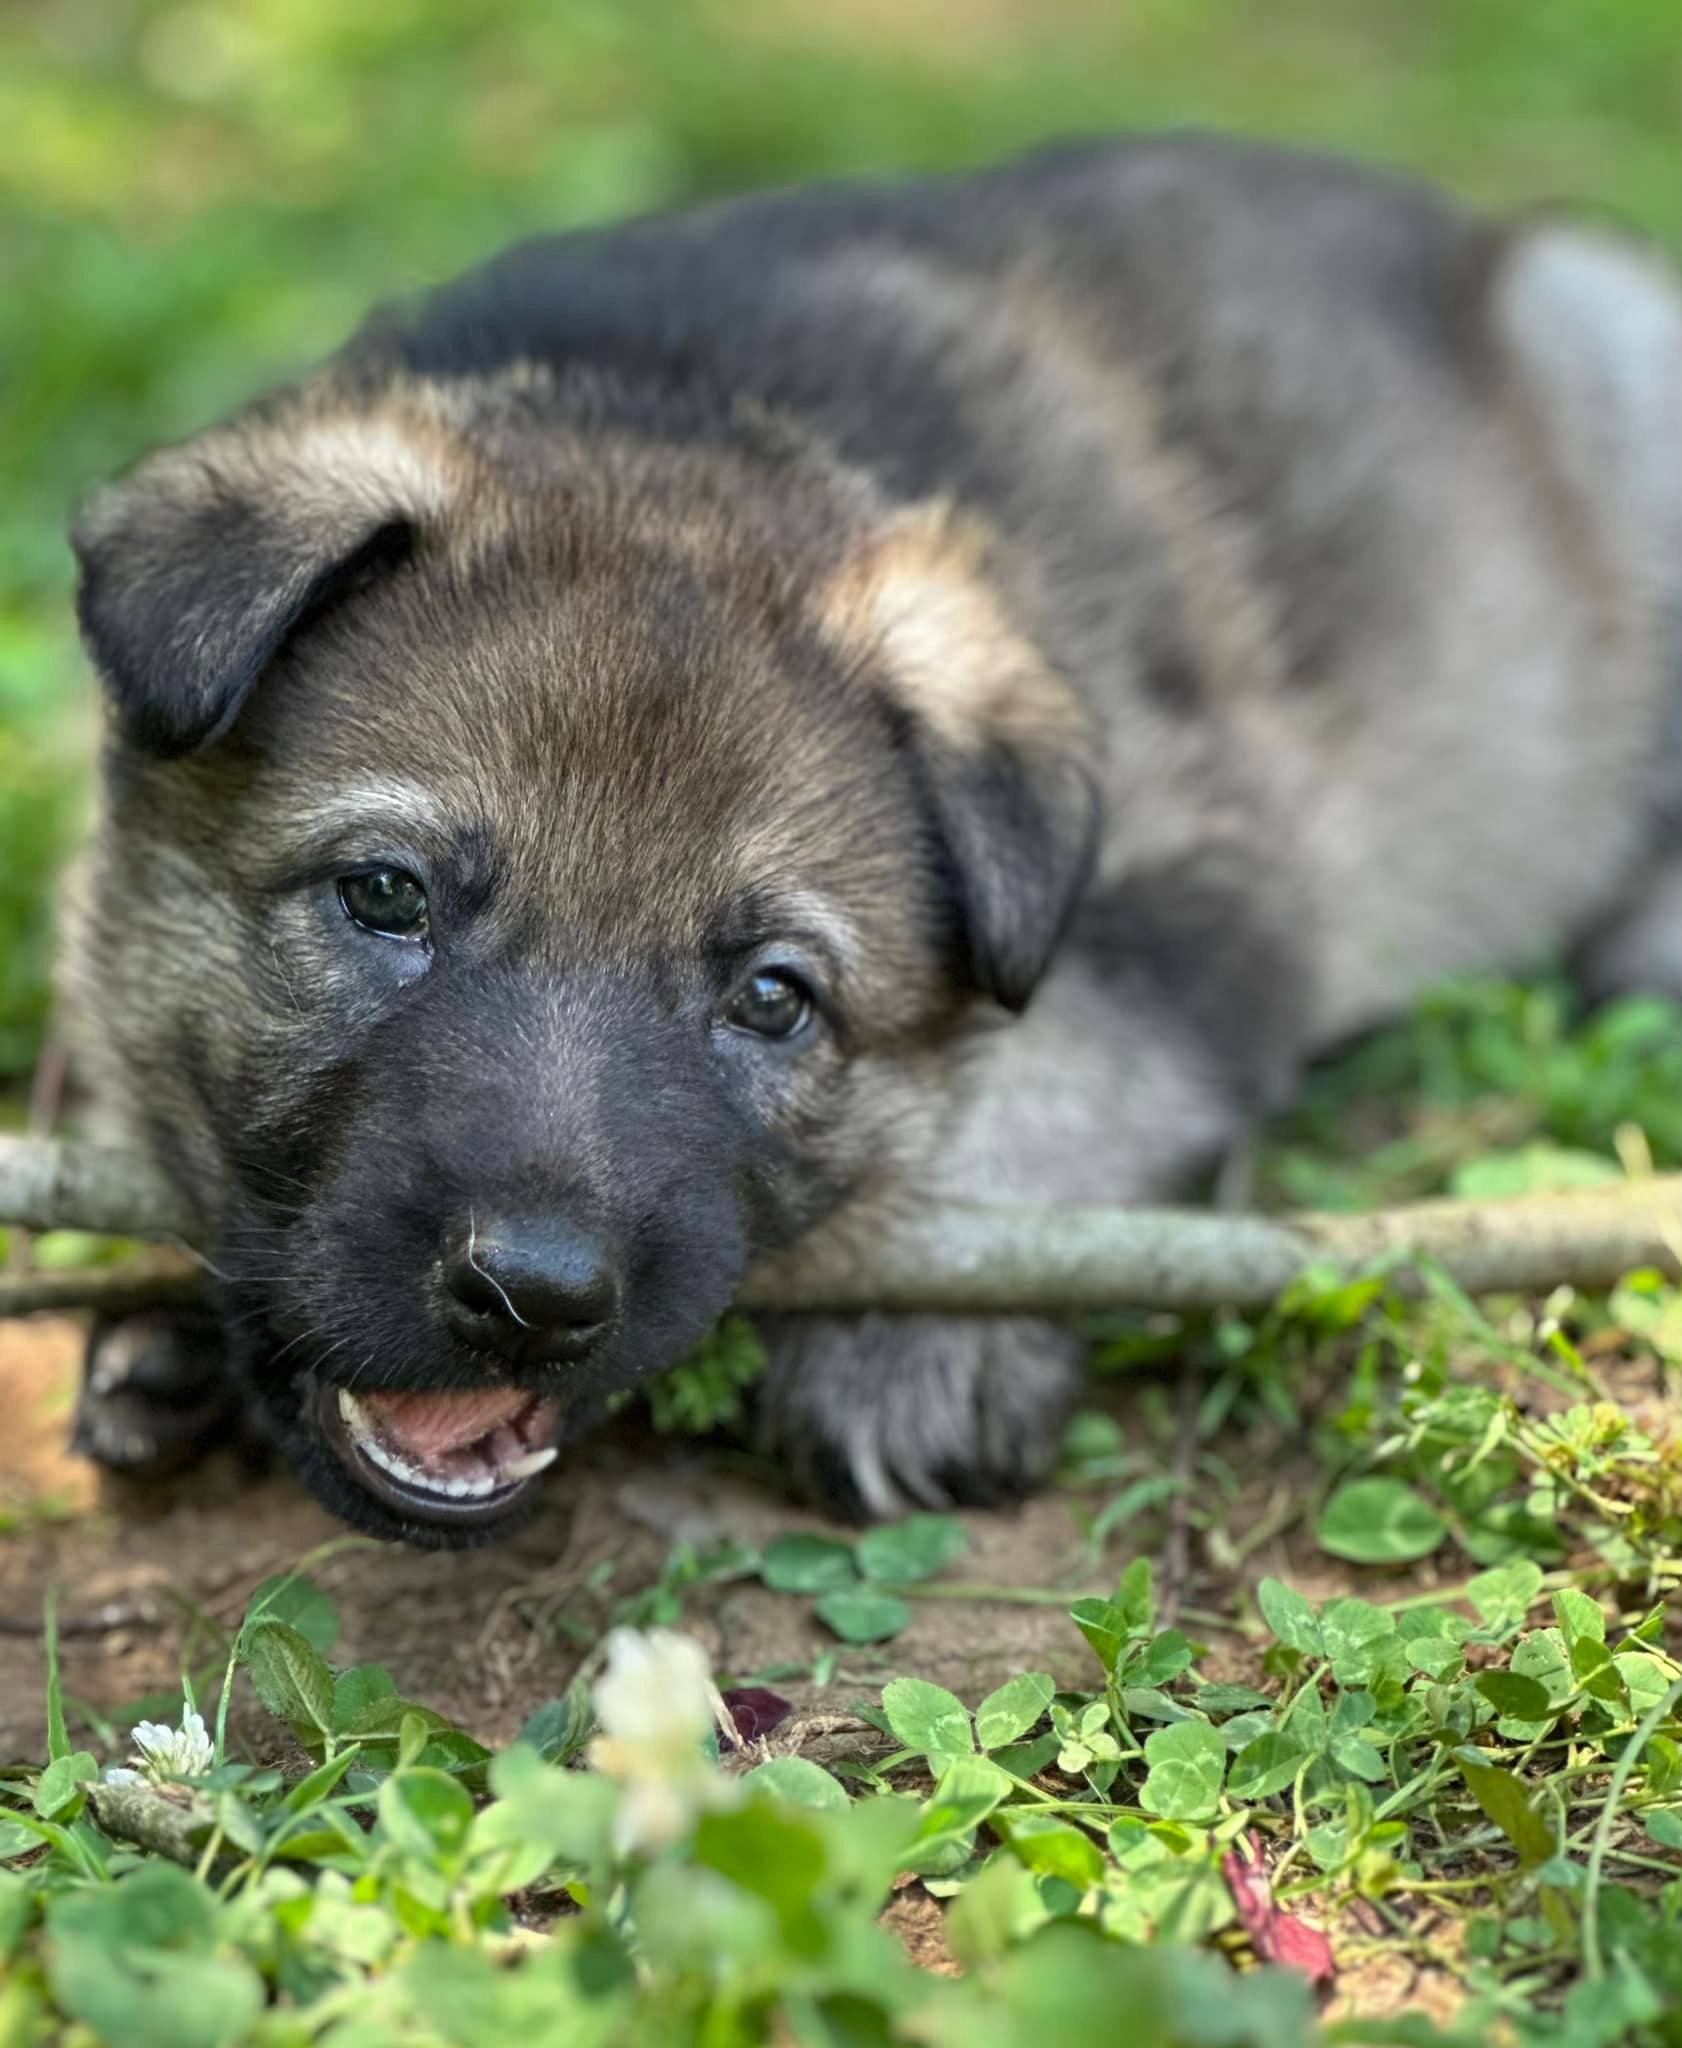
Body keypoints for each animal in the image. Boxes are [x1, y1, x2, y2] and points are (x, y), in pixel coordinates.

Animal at [60, 132, 1682, 1544]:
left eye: (772, 997)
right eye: (385, 897)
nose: (536, 1295)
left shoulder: (1195, 904)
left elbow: (1049, 1083)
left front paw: (910, 1341)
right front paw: (156, 1309)